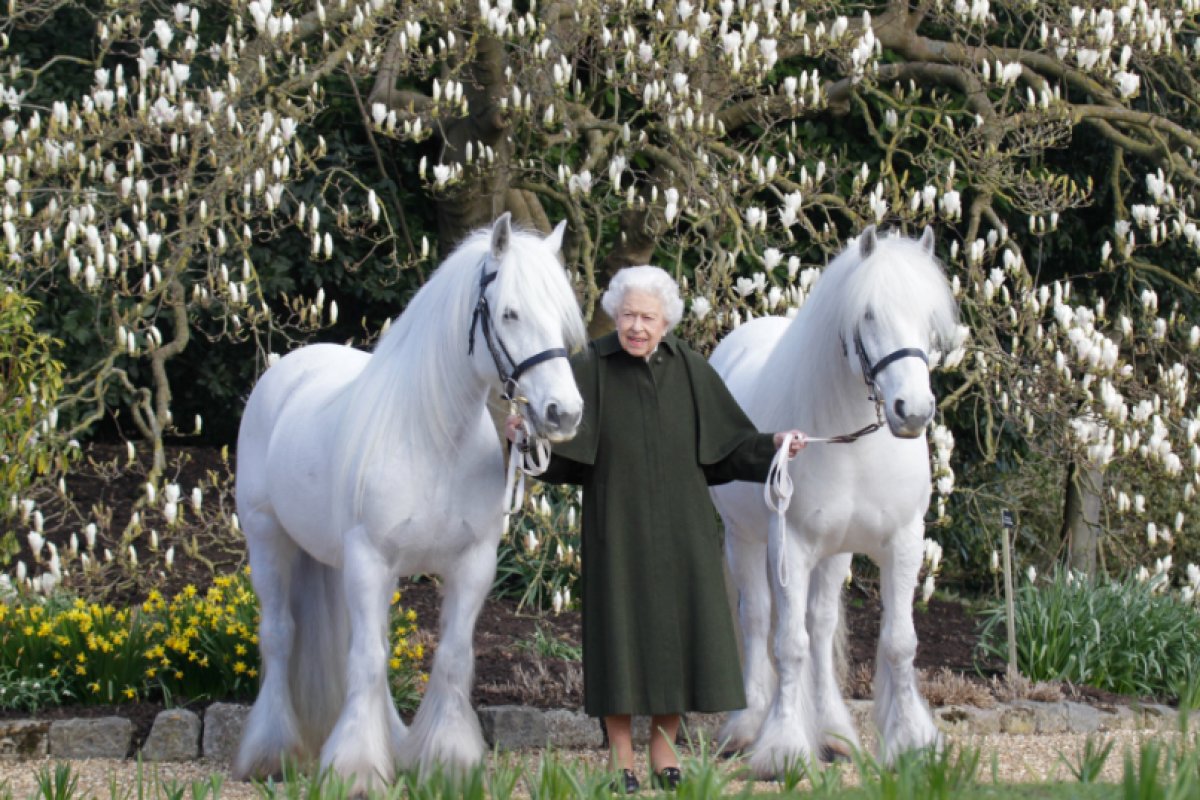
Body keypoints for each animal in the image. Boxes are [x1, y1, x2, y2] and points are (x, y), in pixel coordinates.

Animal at [230, 214, 585, 796]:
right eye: (510, 312)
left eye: (560, 317)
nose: (564, 413)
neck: (433, 439)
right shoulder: (370, 559)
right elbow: (368, 660)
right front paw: (354, 770)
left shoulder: (471, 565)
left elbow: (451, 658)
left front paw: (447, 761)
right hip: (269, 540)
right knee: (280, 637)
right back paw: (272, 753)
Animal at [705, 225, 960, 777]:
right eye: (868, 315)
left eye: (929, 317)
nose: (913, 411)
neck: (853, 443)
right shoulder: (792, 546)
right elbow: (788, 644)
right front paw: (782, 749)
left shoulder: (903, 542)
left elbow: (898, 643)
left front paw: (911, 743)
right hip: (745, 540)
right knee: (758, 619)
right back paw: (747, 726)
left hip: (835, 553)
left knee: (820, 628)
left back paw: (834, 733)